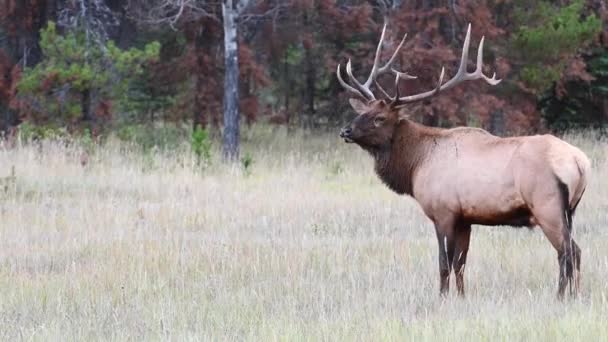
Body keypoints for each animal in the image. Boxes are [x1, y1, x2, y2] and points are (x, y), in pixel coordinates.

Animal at [338, 22, 588, 300]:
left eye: (379, 118)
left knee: (568, 252)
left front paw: (442, 297)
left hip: (547, 206)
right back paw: (575, 294)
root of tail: (580, 163)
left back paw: (561, 296)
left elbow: (443, 262)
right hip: (569, 211)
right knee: (575, 251)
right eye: (363, 111)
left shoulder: (443, 212)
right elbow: (460, 263)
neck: (415, 165)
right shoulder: (465, 218)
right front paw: (461, 296)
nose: (346, 131)